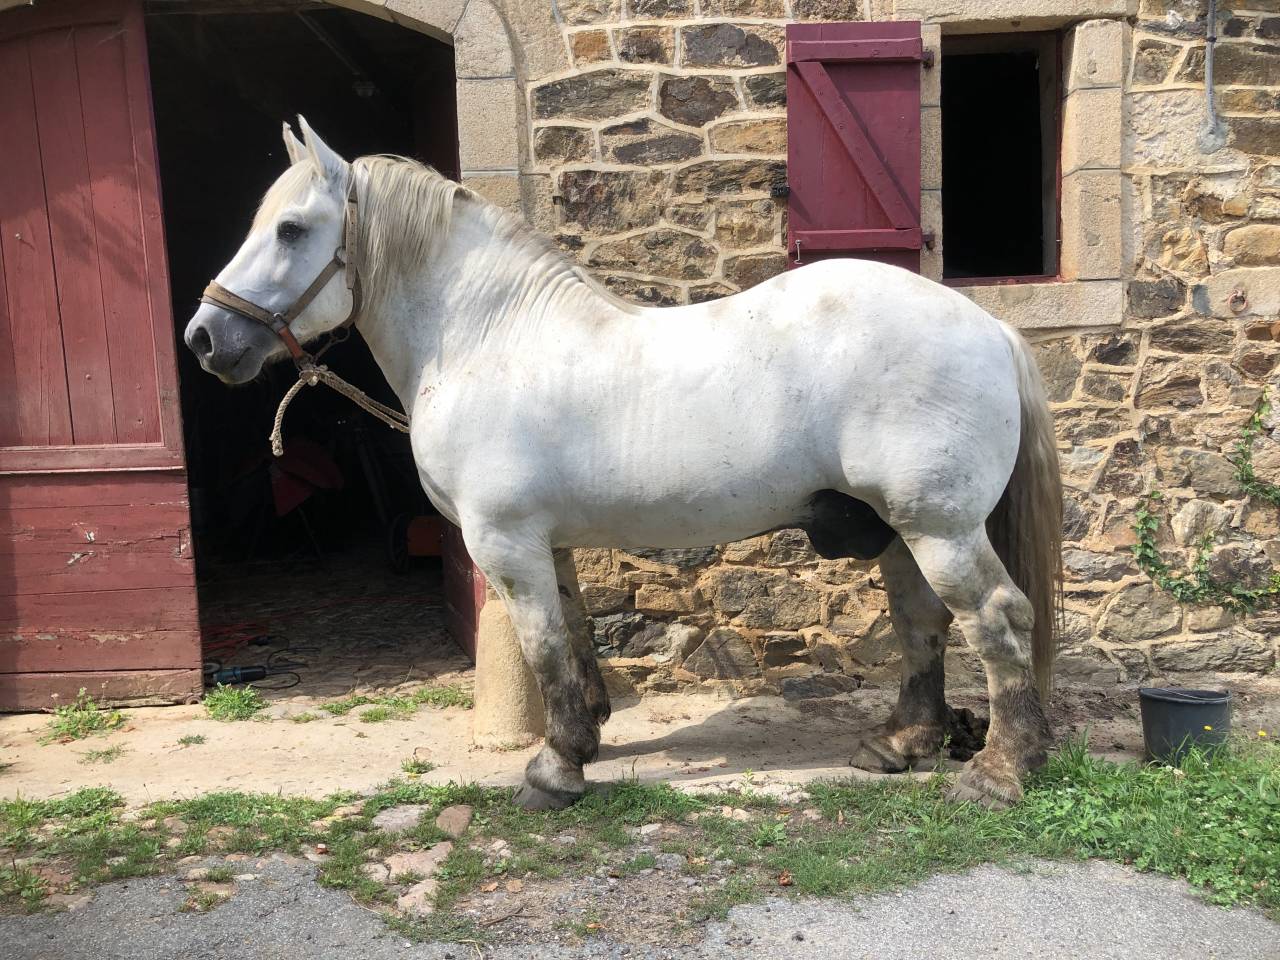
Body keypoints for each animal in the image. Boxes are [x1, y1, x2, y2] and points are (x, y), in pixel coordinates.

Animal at [185, 118, 1062, 811]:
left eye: (291, 230)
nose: (204, 338)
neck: (488, 339)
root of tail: (988, 327)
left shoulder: (504, 543)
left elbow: (542, 648)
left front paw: (554, 770)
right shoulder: (548, 545)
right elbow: (573, 639)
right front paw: (586, 737)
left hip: (940, 527)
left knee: (997, 621)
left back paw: (1001, 772)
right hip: (902, 528)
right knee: (924, 624)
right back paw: (904, 744)